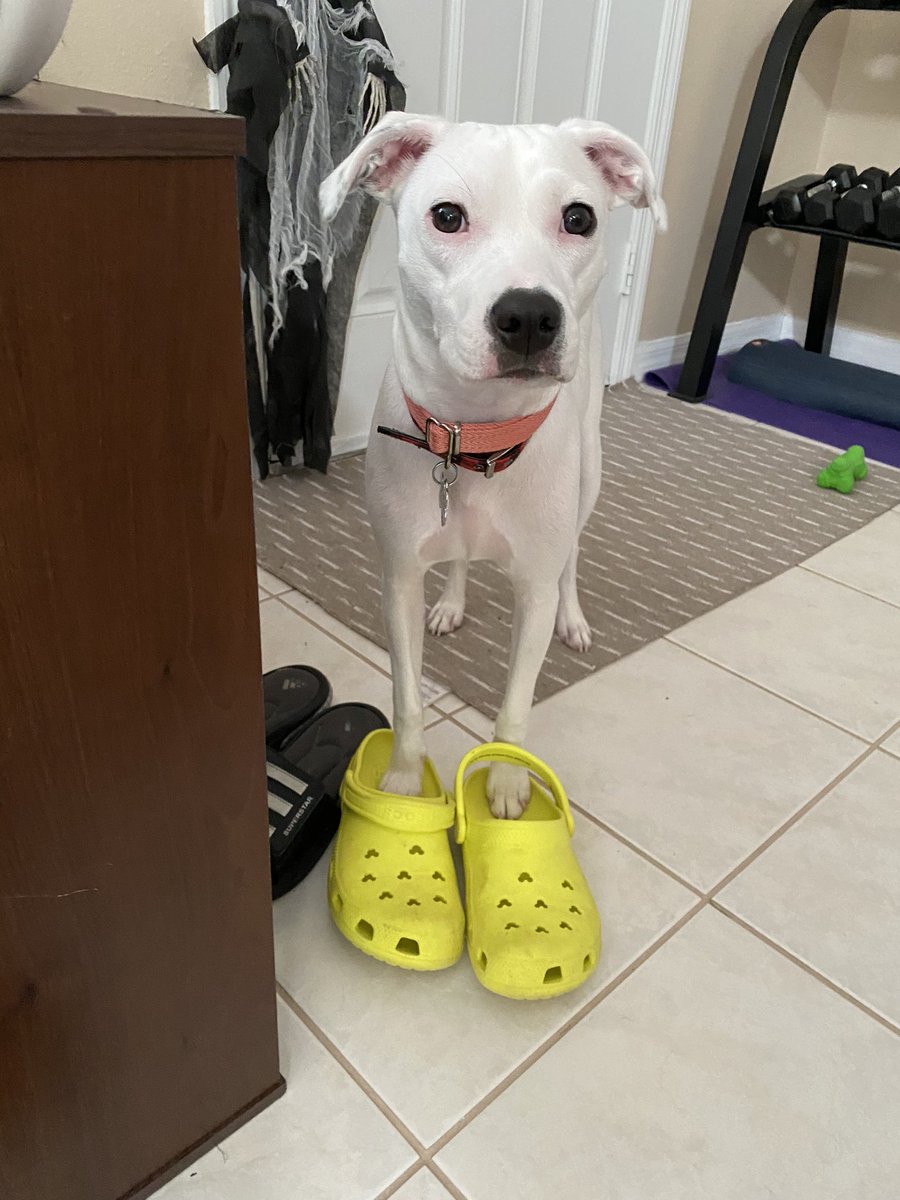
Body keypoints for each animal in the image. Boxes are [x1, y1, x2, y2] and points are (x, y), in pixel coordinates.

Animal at [321, 114, 667, 816]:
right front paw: (403, 784)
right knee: (458, 558)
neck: (475, 434)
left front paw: (507, 786)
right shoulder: (398, 577)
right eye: (446, 216)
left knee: (572, 557)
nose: (529, 315)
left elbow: (514, 708)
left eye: (579, 217)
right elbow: (406, 697)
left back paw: (574, 619)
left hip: (589, 477)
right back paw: (452, 602)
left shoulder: (531, 589)